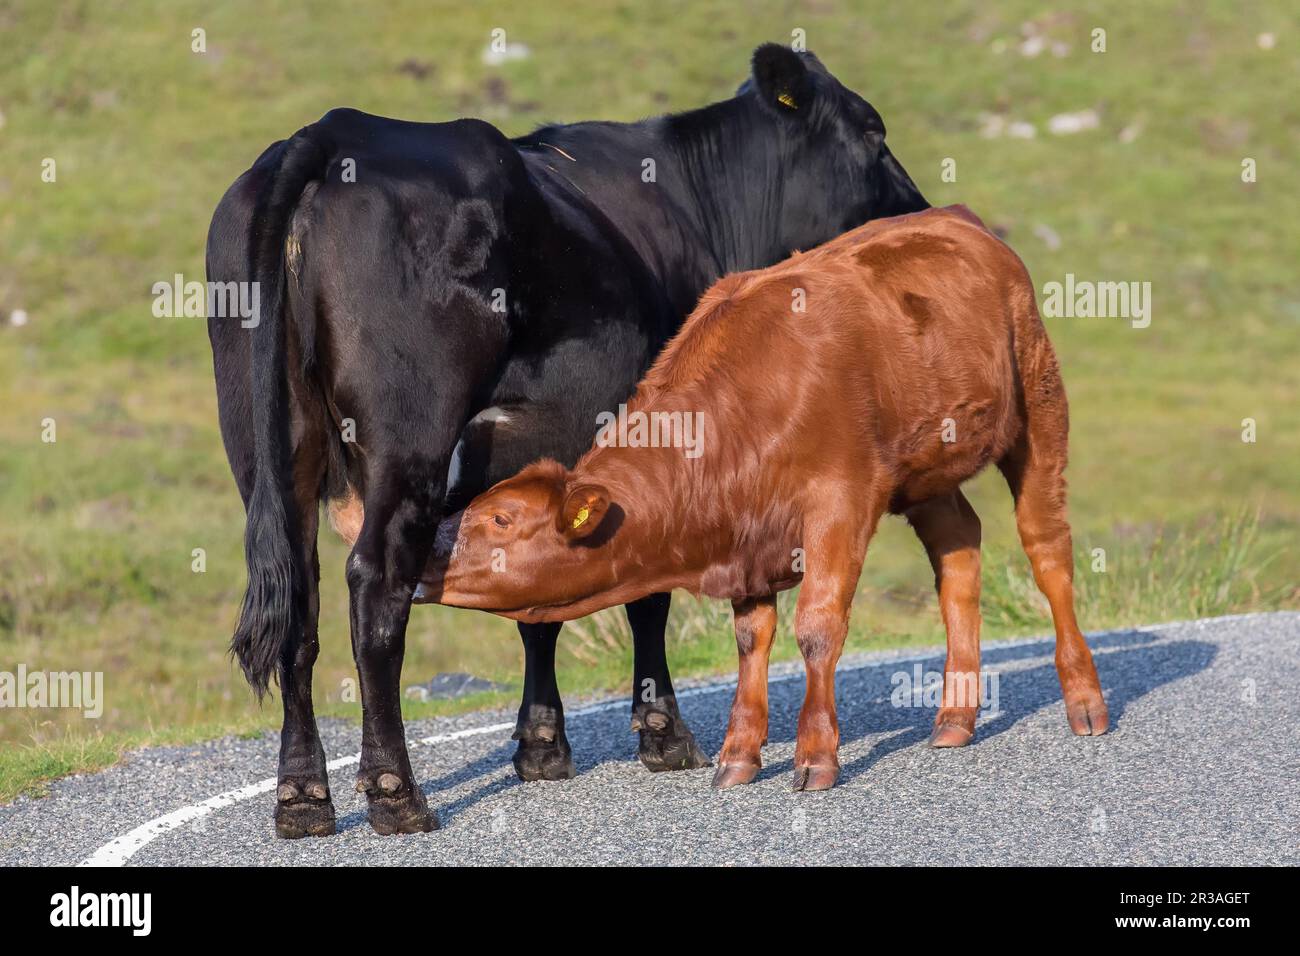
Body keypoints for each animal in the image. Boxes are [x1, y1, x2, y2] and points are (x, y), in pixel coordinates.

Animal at [208, 44, 930, 837]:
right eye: (872, 131)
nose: (921, 212)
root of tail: (335, 129)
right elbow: (645, 596)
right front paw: (662, 733)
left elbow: (537, 604)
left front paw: (542, 746)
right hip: (406, 438)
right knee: (373, 588)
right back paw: (396, 791)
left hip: (269, 450)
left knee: (297, 604)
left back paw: (303, 796)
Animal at [426, 205, 1107, 790]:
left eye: (501, 517)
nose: (427, 548)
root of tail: (958, 219)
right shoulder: (747, 533)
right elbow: (752, 640)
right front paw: (739, 755)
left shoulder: (840, 501)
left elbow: (817, 627)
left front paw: (815, 755)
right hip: (927, 473)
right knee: (958, 551)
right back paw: (954, 719)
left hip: (1040, 406)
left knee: (1047, 548)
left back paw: (1085, 701)